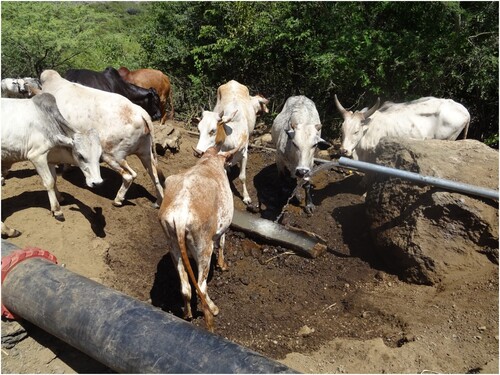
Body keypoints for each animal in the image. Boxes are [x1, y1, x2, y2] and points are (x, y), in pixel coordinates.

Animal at [0, 92, 102, 236]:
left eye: (99, 156)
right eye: (81, 156)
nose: (97, 183)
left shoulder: (50, 160)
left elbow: (54, 180)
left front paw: (60, 198)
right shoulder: (37, 156)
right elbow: (48, 182)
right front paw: (57, 210)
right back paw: (8, 230)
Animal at [40, 69, 164, 207]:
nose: (158, 115)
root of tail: (141, 113)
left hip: (112, 154)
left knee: (129, 176)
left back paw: (118, 200)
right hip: (145, 152)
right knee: (154, 175)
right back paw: (158, 202)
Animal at [160, 146, 238, 332]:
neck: (208, 161)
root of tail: (181, 214)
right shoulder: (223, 227)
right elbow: (222, 243)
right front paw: (223, 265)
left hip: (172, 244)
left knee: (186, 287)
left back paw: (188, 314)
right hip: (204, 248)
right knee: (201, 287)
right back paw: (211, 316)